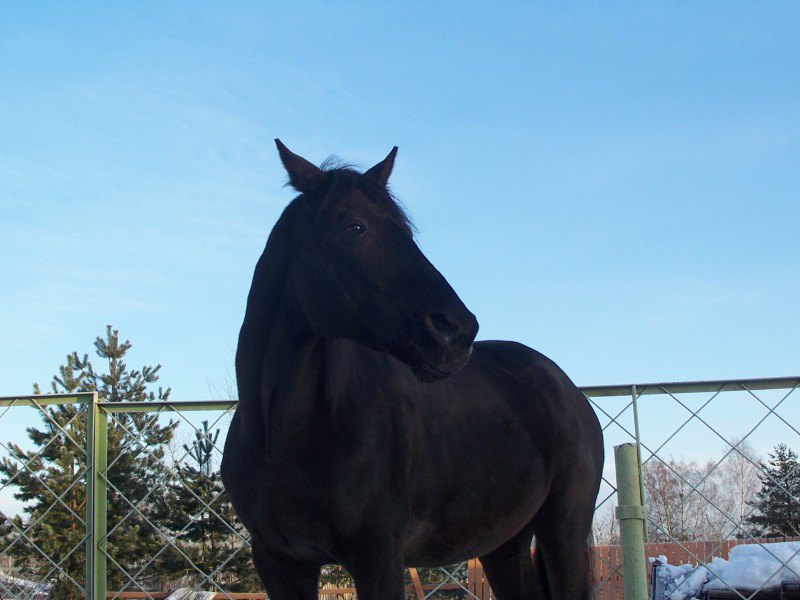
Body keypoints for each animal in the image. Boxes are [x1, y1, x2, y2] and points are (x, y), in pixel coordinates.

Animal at [222, 142, 604, 600]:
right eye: (354, 227)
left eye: (406, 233)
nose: (457, 330)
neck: (284, 433)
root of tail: (569, 390)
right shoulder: (279, 562)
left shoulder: (378, 556)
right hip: (505, 545)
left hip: (563, 532)